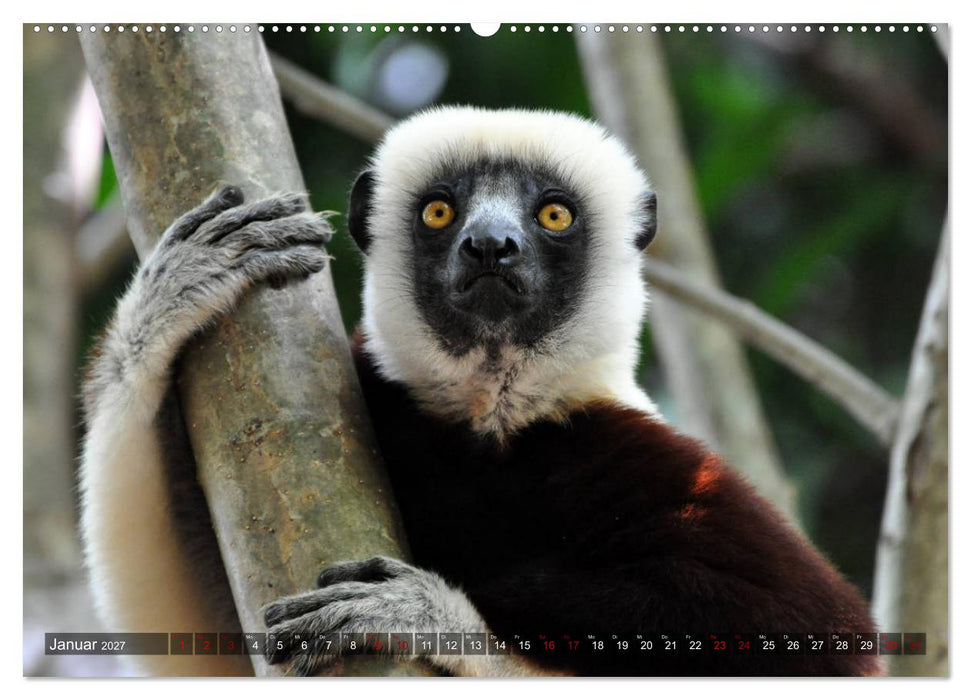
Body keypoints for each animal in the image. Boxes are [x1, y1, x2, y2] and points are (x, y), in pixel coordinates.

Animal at [80, 106, 882, 677]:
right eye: (440, 211)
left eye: (553, 214)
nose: (491, 246)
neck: (491, 415)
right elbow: (188, 621)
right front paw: (179, 290)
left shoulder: (661, 463)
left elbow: (815, 640)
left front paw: (429, 616)